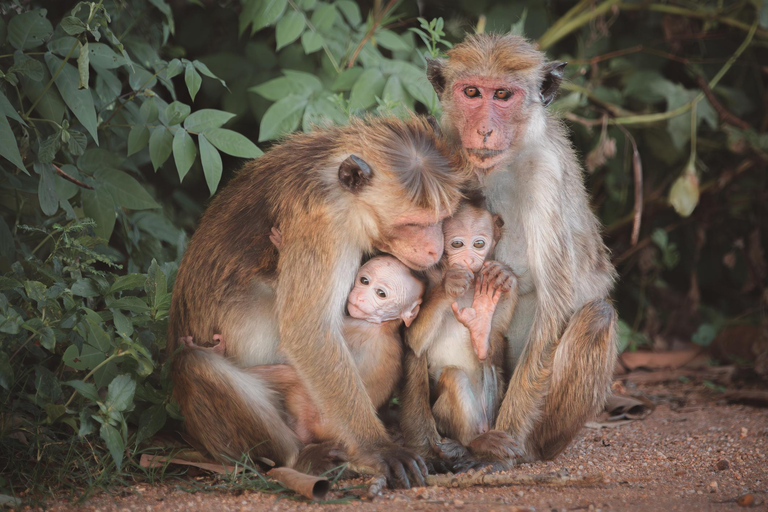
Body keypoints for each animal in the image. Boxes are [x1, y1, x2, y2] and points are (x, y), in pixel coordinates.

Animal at [168, 116, 462, 488]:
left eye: (442, 218)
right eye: (413, 224)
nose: (435, 250)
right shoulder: (324, 227)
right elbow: (308, 332)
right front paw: (377, 448)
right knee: (194, 365)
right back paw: (298, 458)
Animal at [408, 31, 616, 464]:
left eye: (503, 95)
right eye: (472, 92)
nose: (485, 128)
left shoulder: (546, 175)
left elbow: (556, 306)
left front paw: (505, 446)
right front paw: (421, 447)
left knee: (597, 315)